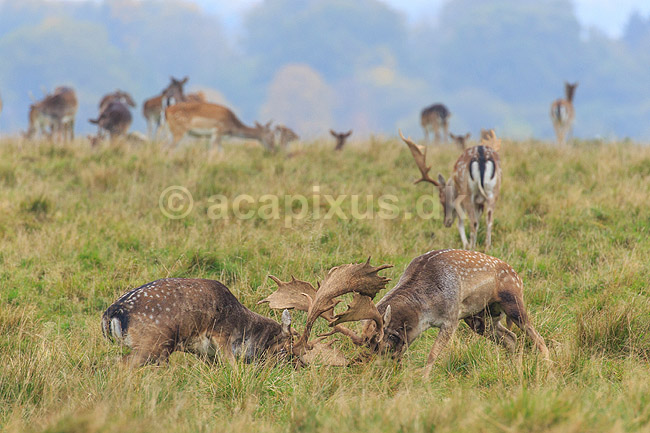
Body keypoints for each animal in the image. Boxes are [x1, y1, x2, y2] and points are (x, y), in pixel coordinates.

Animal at [102, 278, 296, 367]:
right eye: (285, 350)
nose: (292, 369)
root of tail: (112, 313)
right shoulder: (221, 333)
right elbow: (233, 366)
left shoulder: (206, 354)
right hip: (152, 343)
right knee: (121, 364)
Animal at [260, 252, 550, 377]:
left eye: (388, 346)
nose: (372, 373)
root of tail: (515, 272)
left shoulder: (451, 317)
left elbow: (432, 356)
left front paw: (423, 379)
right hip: (480, 319)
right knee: (511, 338)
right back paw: (514, 367)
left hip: (514, 302)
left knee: (536, 337)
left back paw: (548, 367)